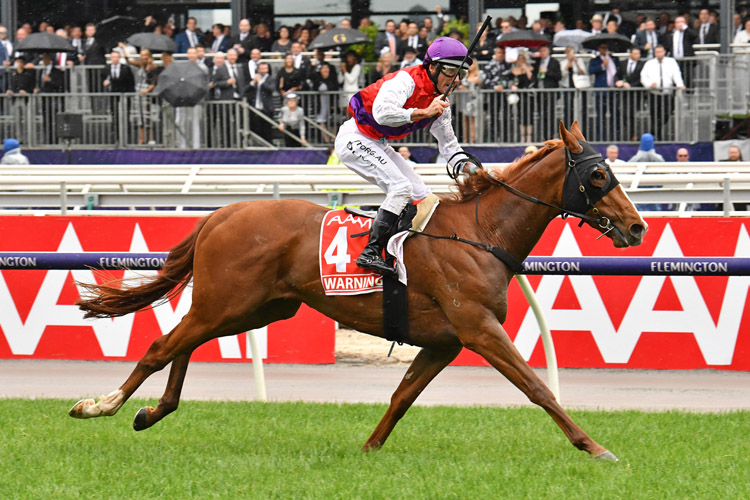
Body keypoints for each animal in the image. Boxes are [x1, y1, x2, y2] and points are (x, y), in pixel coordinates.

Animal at [69, 124, 648, 460]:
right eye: (599, 175)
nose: (638, 227)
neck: (480, 233)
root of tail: (222, 213)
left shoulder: (444, 341)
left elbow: (402, 396)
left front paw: (369, 449)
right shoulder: (478, 328)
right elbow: (537, 387)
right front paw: (594, 446)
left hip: (255, 309)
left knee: (183, 344)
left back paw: (151, 411)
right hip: (228, 301)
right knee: (162, 345)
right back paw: (102, 405)